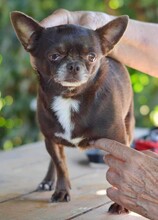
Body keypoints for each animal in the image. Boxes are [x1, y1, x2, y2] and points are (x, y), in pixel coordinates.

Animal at [10, 11, 134, 214]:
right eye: (54, 56)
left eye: (91, 57)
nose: (74, 65)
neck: (69, 96)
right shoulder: (51, 138)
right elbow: (61, 165)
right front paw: (61, 191)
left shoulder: (118, 142)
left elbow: (120, 171)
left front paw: (120, 203)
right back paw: (48, 181)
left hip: (128, 126)